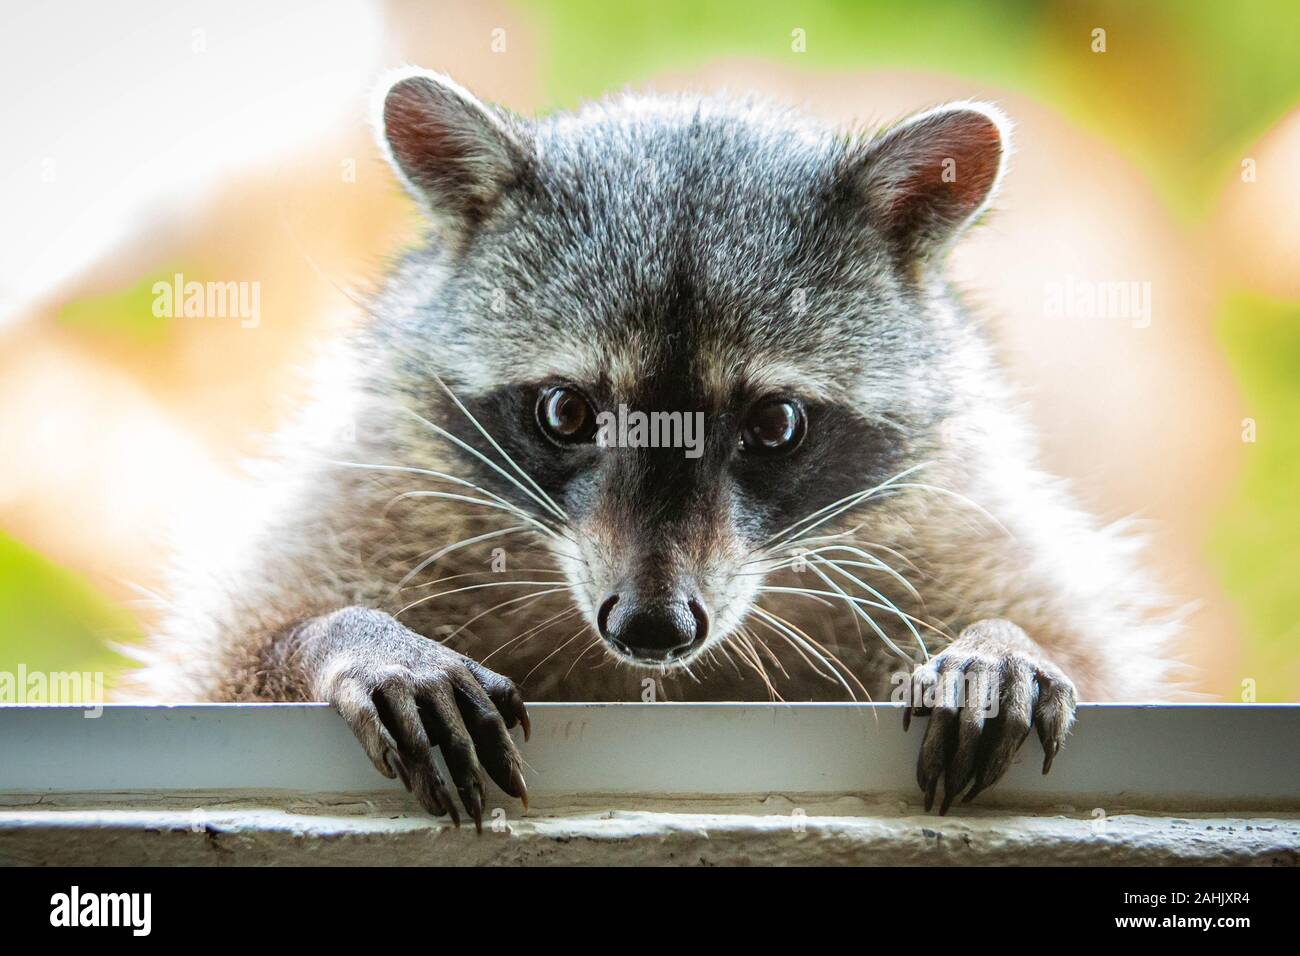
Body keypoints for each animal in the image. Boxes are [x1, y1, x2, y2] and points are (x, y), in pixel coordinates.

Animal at [126, 72, 1185, 822]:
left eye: (775, 425)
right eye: (564, 413)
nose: (652, 628)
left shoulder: (944, 514)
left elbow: (1095, 657)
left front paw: (1003, 642)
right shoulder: (380, 478)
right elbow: (219, 671)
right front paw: (350, 636)